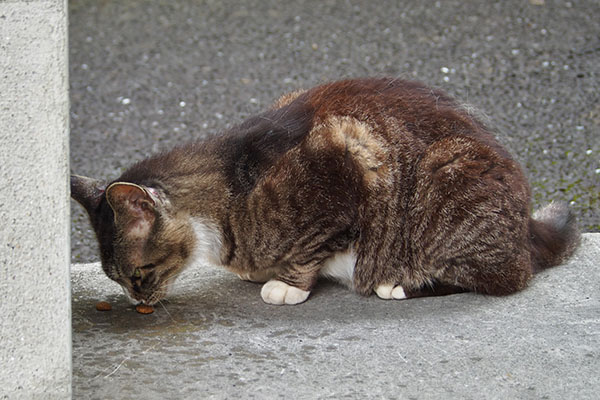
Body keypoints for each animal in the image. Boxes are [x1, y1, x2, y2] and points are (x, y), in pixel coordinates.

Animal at [70, 76, 580, 304]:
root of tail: (529, 226)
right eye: (117, 281)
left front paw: (287, 284)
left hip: (447, 173)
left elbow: (309, 247)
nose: (139, 302)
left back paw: (400, 284)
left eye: (138, 275)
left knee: (506, 278)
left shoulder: (344, 158)